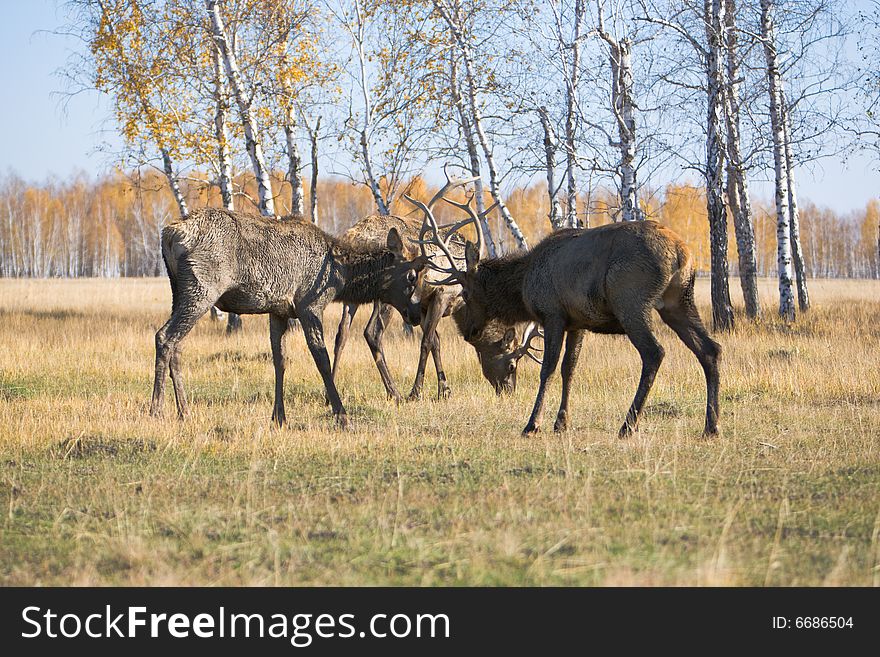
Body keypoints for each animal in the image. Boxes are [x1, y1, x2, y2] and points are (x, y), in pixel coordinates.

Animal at [150, 208, 428, 428]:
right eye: (412, 277)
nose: (416, 315)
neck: (340, 276)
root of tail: (170, 235)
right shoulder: (309, 306)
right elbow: (321, 359)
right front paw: (342, 415)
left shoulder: (279, 312)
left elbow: (280, 361)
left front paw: (279, 417)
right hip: (202, 289)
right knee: (164, 336)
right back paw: (157, 410)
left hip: (178, 290)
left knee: (177, 345)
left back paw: (184, 411)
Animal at [330, 167, 536, 398]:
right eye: (512, 364)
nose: (508, 391)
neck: (463, 306)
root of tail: (353, 236)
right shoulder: (441, 294)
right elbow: (427, 341)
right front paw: (417, 391)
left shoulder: (421, 305)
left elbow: (436, 341)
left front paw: (444, 389)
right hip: (386, 293)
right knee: (372, 333)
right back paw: (394, 392)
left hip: (352, 292)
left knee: (341, 334)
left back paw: (331, 389)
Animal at [412, 205, 720, 438]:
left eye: (465, 292)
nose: (472, 331)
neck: (523, 285)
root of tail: (683, 254)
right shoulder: (578, 322)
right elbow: (569, 369)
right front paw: (561, 423)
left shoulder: (553, 314)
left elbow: (547, 369)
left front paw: (533, 424)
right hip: (679, 302)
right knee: (710, 349)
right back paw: (711, 426)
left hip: (631, 301)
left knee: (654, 352)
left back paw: (628, 425)